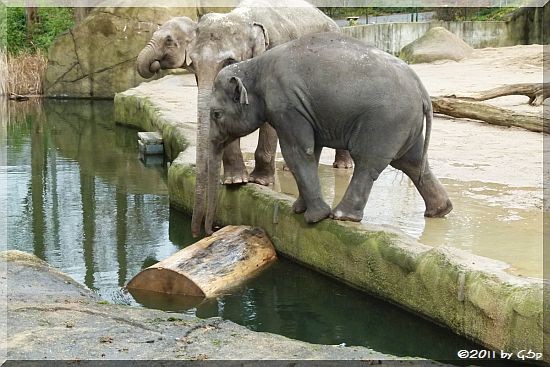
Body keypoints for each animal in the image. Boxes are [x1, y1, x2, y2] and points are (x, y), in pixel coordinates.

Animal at [136, 0, 356, 237]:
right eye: (193, 63)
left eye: (229, 60)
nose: (207, 230)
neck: (242, 17)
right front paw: (235, 181)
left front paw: (259, 181)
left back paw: (343, 166)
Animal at [203, 33, 452, 236]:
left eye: (216, 114)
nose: (211, 229)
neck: (254, 65)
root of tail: (422, 91)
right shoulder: (303, 110)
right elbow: (312, 150)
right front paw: (298, 209)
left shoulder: (287, 106)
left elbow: (297, 153)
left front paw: (314, 217)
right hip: (405, 124)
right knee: (412, 162)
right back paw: (440, 210)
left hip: (386, 122)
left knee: (368, 163)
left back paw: (341, 216)